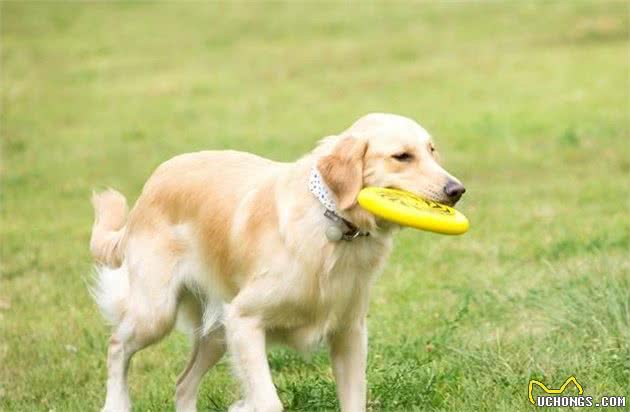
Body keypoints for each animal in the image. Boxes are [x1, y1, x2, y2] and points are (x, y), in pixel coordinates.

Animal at [89, 112, 466, 412]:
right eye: (402, 156)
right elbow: (268, 400)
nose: (457, 190)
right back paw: (116, 403)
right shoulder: (245, 320)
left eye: (432, 150)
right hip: (158, 313)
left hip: (217, 332)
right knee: (117, 346)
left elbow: (354, 399)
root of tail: (151, 184)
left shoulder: (349, 332)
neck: (332, 225)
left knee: (182, 384)